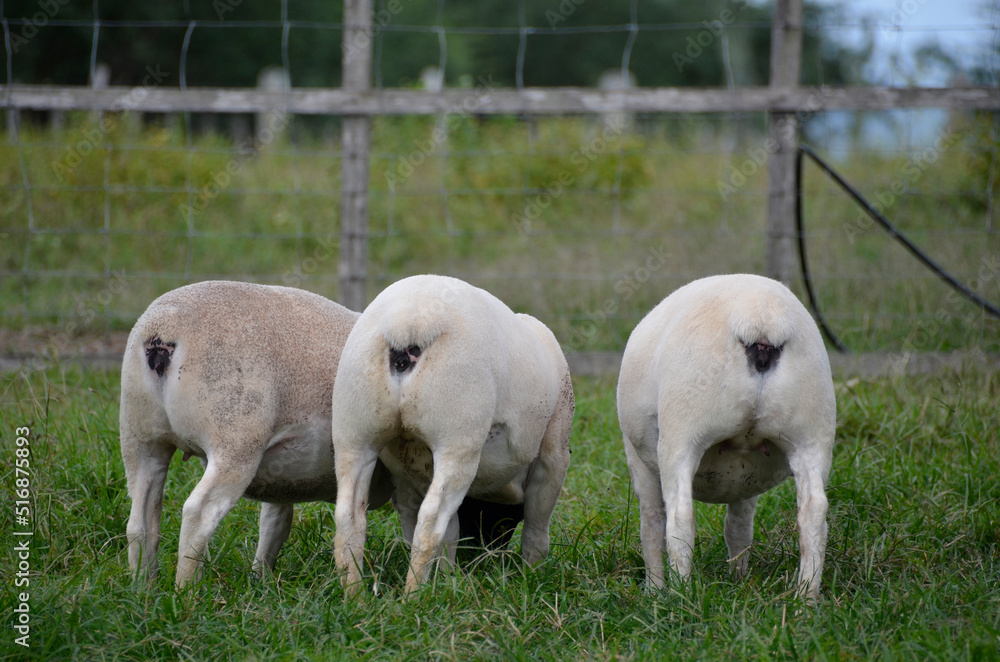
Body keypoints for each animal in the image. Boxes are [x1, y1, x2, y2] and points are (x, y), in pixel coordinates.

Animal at [119, 280, 396, 587]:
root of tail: (161, 333)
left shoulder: (285, 478)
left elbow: (274, 525)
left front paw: (261, 581)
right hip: (236, 439)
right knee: (198, 514)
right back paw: (186, 590)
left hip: (139, 435)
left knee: (140, 521)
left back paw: (143, 589)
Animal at [331, 275, 574, 595]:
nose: (487, 553)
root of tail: (408, 323)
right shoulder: (553, 454)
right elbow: (536, 526)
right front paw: (532, 574)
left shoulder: (414, 473)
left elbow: (450, 532)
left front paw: (446, 578)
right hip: (458, 436)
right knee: (430, 521)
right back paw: (413, 595)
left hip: (354, 434)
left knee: (349, 518)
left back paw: (355, 594)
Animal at [616, 274, 836, 601]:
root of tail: (762, 318)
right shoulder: (749, 480)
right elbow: (739, 527)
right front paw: (738, 581)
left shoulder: (638, 459)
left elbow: (651, 524)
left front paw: (654, 590)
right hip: (812, 432)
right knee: (814, 513)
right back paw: (805, 598)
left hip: (682, 430)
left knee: (680, 517)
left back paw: (681, 596)